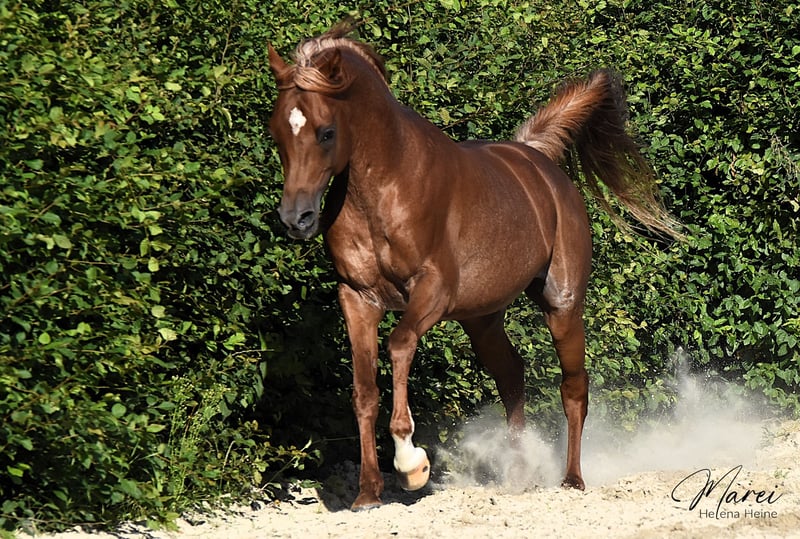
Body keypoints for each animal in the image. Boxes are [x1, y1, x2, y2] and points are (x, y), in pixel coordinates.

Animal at [267, 22, 681, 511]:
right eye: (278, 132)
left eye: (326, 132)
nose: (296, 219)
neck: (384, 187)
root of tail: (538, 161)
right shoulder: (357, 297)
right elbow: (364, 391)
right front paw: (367, 494)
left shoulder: (431, 291)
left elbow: (399, 345)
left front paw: (412, 466)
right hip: (482, 319)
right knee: (512, 375)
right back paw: (518, 473)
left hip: (561, 304)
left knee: (574, 387)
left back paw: (572, 479)